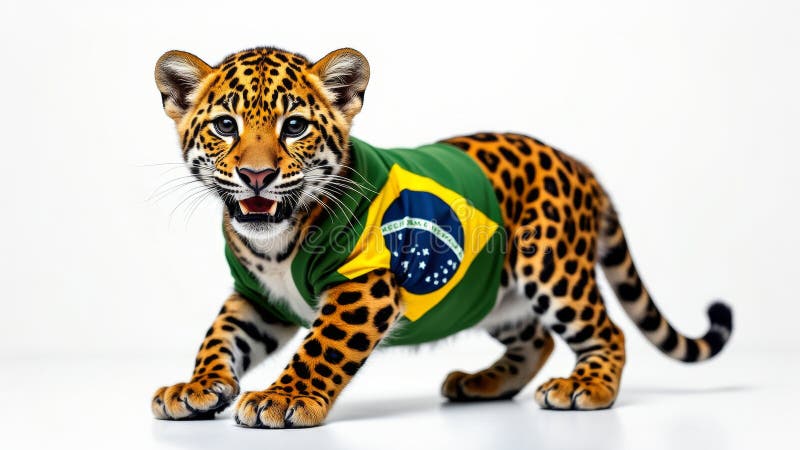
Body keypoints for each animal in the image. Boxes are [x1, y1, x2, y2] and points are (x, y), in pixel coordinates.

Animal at [150, 46, 733, 428]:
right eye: (225, 126)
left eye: (294, 127)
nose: (256, 176)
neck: (275, 244)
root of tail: (577, 164)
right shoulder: (258, 296)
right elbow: (220, 337)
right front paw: (197, 388)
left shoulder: (365, 285)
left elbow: (323, 345)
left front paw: (286, 398)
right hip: (492, 291)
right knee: (536, 337)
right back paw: (480, 384)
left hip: (550, 266)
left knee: (606, 332)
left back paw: (585, 388)